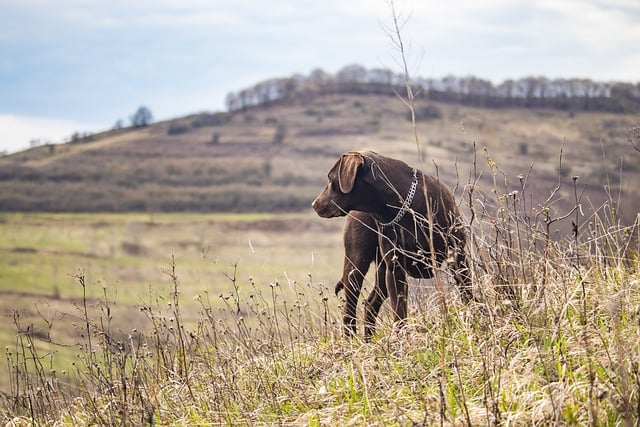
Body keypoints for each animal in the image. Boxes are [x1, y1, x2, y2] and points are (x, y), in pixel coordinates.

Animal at [312, 150, 472, 338]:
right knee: (349, 309)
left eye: (331, 179)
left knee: (370, 304)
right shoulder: (395, 271)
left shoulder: (458, 257)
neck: (406, 208)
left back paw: (369, 340)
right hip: (356, 266)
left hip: (381, 272)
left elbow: (468, 295)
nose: (314, 204)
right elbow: (400, 315)